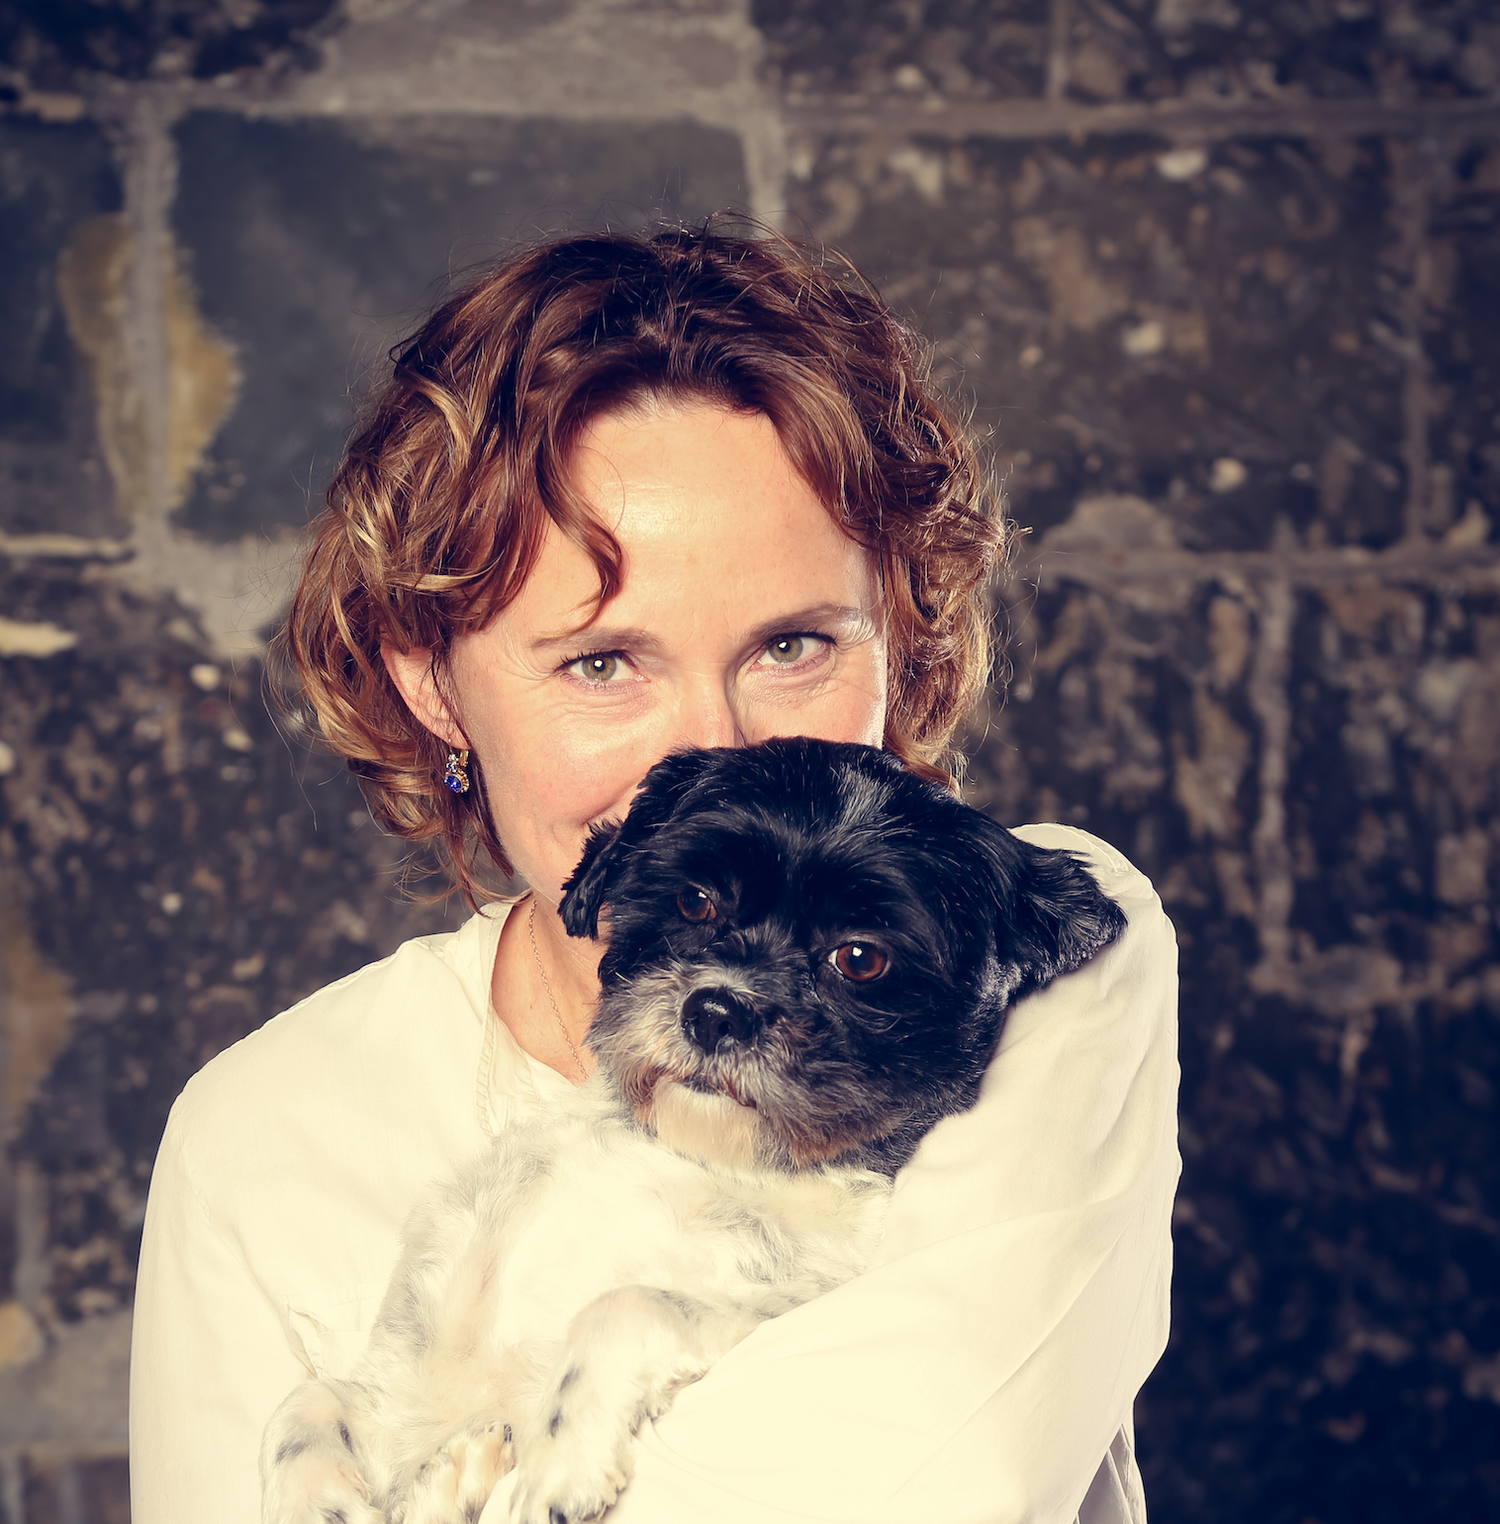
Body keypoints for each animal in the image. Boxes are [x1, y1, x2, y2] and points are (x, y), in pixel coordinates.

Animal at [261, 737, 1126, 1524]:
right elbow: (301, 1409)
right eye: (697, 902)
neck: (684, 1154)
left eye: (860, 959)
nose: (716, 1010)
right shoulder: (410, 1378)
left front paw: (560, 1460)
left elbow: (625, 1305)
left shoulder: (784, 1313)